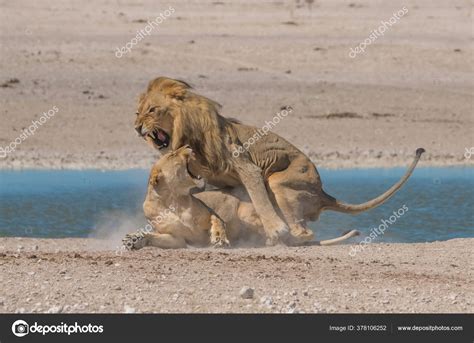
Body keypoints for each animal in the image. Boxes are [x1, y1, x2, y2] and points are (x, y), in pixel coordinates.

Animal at [122, 146, 360, 250]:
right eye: (172, 154)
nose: (188, 147)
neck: (175, 201)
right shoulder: (178, 239)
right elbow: (159, 237)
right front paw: (135, 240)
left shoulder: (210, 213)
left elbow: (217, 220)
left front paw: (219, 238)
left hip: (247, 212)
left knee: (283, 233)